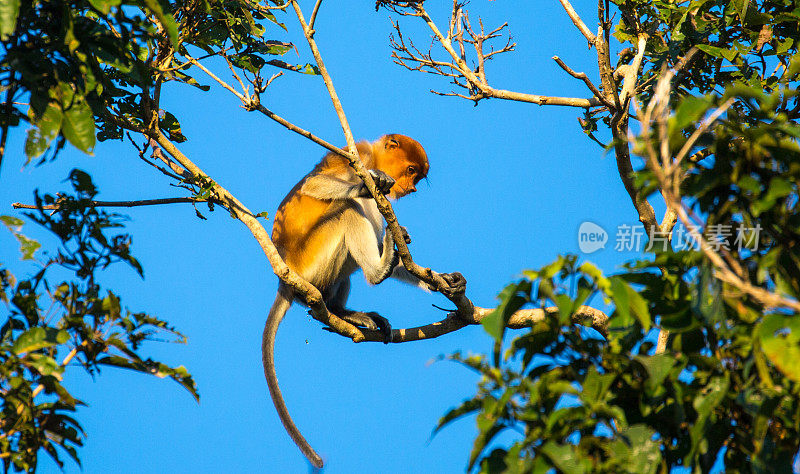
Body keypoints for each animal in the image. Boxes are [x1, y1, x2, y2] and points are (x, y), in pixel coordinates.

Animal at [262, 133, 466, 466]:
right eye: (411, 170)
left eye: (417, 177)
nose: (410, 188)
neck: (371, 157)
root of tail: (285, 277)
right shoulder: (353, 155)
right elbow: (314, 184)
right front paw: (371, 183)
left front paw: (446, 280)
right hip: (313, 260)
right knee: (348, 209)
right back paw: (376, 270)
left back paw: (341, 309)